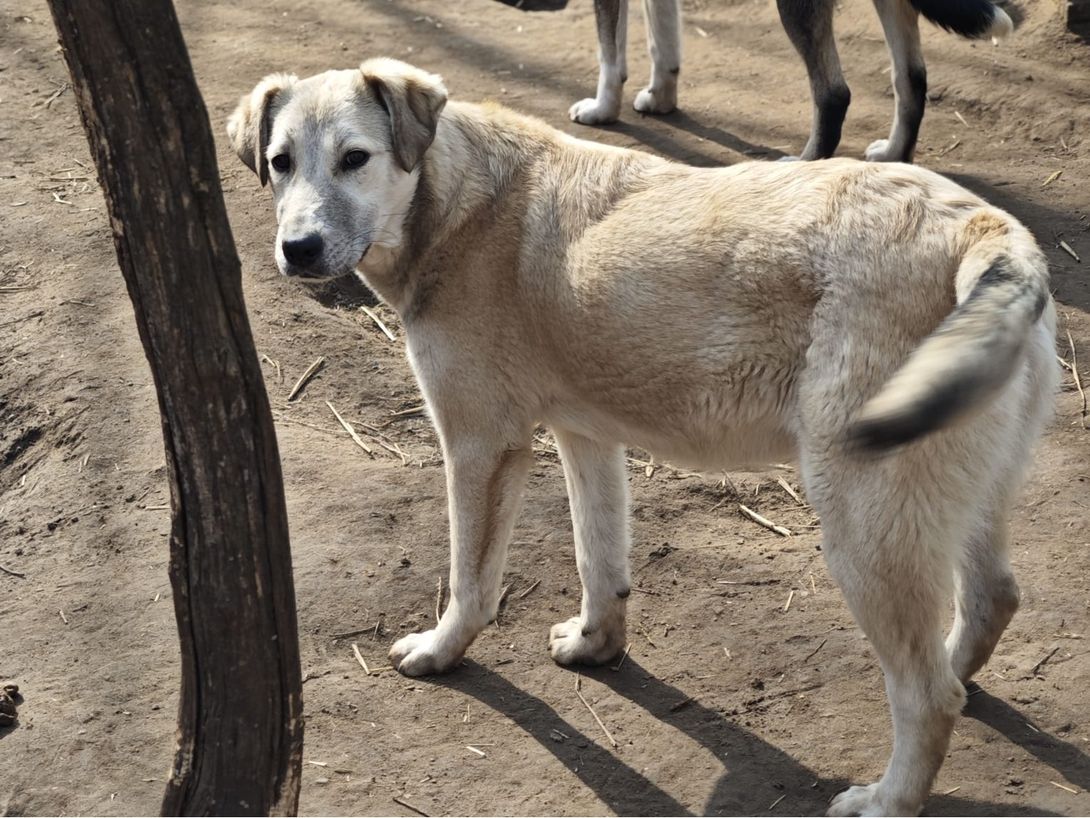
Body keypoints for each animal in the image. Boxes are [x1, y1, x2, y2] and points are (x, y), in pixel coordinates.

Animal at [228, 59, 1055, 815]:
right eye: (280, 163)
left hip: (862, 525)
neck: (457, 201)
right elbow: (599, 561)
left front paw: (440, 651)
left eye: (354, 158)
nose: (298, 249)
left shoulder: (480, 448)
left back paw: (887, 799)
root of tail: (985, 227)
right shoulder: (585, 439)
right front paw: (598, 646)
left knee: (927, 696)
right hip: (951, 508)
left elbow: (470, 584)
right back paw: (958, 677)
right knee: (988, 608)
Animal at [571, 0, 1012, 162]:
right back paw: (892, 156)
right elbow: (663, 41)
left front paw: (602, 109)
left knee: (834, 94)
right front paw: (661, 98)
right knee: (912, 81)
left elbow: (610, 55)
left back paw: (805, 163)